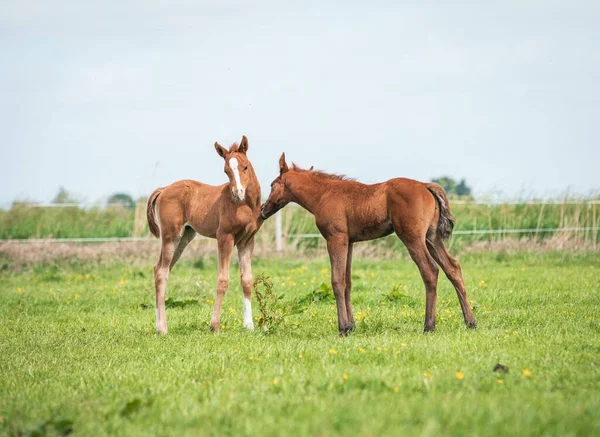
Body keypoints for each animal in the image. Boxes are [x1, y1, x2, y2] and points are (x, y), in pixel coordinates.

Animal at [146, 136, 262, 334]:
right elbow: (223, 280)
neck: (245, 206)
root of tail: (164, 189)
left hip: (184, 238)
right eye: (226, 171)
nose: (237, 193)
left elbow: (247, 280)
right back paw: (162, 328)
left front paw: (249, 325)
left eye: (245, 166)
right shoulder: (225, 237)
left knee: (158, 269)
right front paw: (214, 325)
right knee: (161, 272)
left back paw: (157, 324)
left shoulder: (247, 241)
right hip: (171, 236)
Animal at [260, 155, 476, 336]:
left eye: (271, 185)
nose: (262, 210)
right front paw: (351, 326)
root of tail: (425, 186)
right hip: (432, 238)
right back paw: (470, 322)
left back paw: (429, 326)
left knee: (430, 270)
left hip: (412, 238)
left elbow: (337, 281)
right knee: (452, 268)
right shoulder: (350, 242)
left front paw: (343, 329)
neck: (324, 195)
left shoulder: (335, 239)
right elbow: (348, 283)